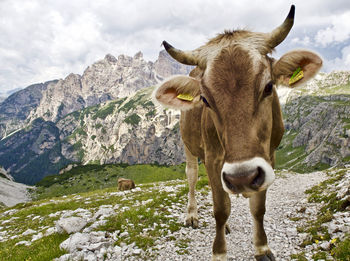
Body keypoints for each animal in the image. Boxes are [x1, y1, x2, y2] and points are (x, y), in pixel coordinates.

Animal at [153, 4, 322, 260]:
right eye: (205, 99)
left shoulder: (268, 156)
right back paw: (192, 215)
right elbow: (220, 209)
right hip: (188, 145)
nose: (242, 177)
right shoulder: (213, 158)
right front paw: (219, 252)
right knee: (192, 176)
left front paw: (262, 248)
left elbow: (258, 207)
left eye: (269, 86)